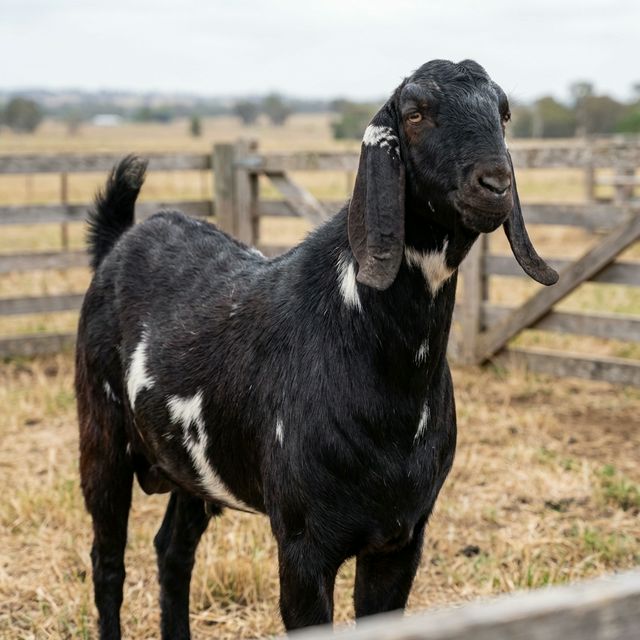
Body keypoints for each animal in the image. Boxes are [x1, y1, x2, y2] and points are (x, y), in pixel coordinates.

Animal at [76, 59, 558, 639]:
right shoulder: (304, 546)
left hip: (192, 467)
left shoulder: (402, 539)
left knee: (172, 551)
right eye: (415, 113)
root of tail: (120, 240)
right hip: (100, 434)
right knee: (107, 561)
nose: (495, 184)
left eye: (503, 113)